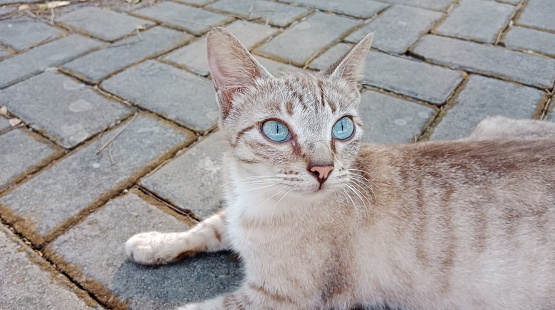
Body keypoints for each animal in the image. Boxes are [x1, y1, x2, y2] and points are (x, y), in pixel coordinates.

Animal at [126, 27, 555, 308]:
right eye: (276, 130)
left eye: (342, 127)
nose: (323, 170)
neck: (254, 197)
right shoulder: (233, 218)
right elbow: (207, 226)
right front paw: (151, 244)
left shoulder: (278, 300)